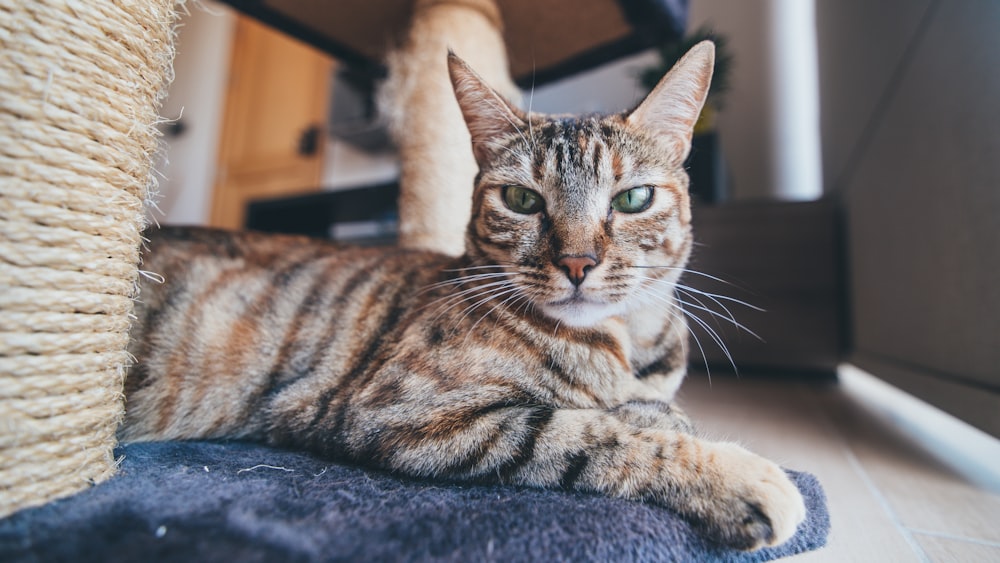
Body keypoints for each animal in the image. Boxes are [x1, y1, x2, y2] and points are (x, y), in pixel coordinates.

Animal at [123, 43, 804, 552]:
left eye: (633, 199)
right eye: (522, 200)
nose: (578, 262)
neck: (624, 342)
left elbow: (644, 409)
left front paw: (656, 411)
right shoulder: (402, 412)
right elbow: (586, 433)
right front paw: (734, 473)